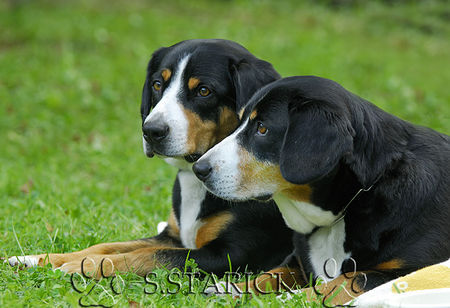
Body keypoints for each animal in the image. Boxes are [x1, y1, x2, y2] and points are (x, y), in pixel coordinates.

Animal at [9, 39, 296, 278]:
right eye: (158, 84)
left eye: (204, 90)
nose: (151, 131)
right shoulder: (172, 236)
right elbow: (110, 245)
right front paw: (39, 258)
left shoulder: (231, 253)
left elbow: (147, 255)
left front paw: (85, 265)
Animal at [194, 76, 450, 304]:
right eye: (240, 124)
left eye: (262, 129)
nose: (199, 169)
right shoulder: (296, 262)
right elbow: (269, 275)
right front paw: (230, 289)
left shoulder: (406, 272)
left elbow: (344, 282)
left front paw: (287, 298)